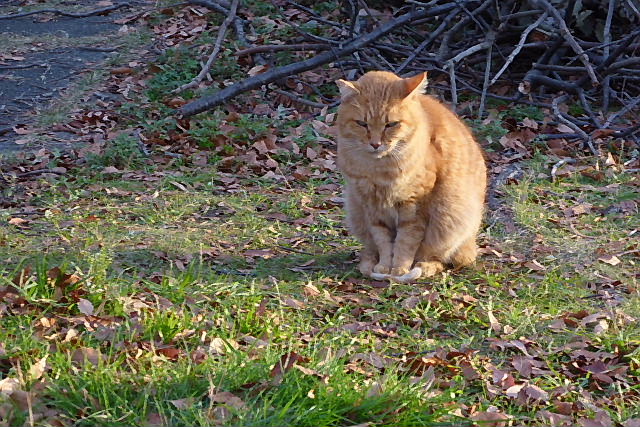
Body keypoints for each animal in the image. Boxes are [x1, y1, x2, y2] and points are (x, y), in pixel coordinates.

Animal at [336, 71, 484, 280]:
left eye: (391, 124)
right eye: (362, 123)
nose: (375, 144)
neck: (379, 170)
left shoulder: (414, 207)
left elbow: (406, 242)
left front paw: (399, 268)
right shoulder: (372, 207)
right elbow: (383, 242)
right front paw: (384, 266)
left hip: (452, 216)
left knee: (440, 257)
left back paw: (426, 266)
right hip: (355, 209)